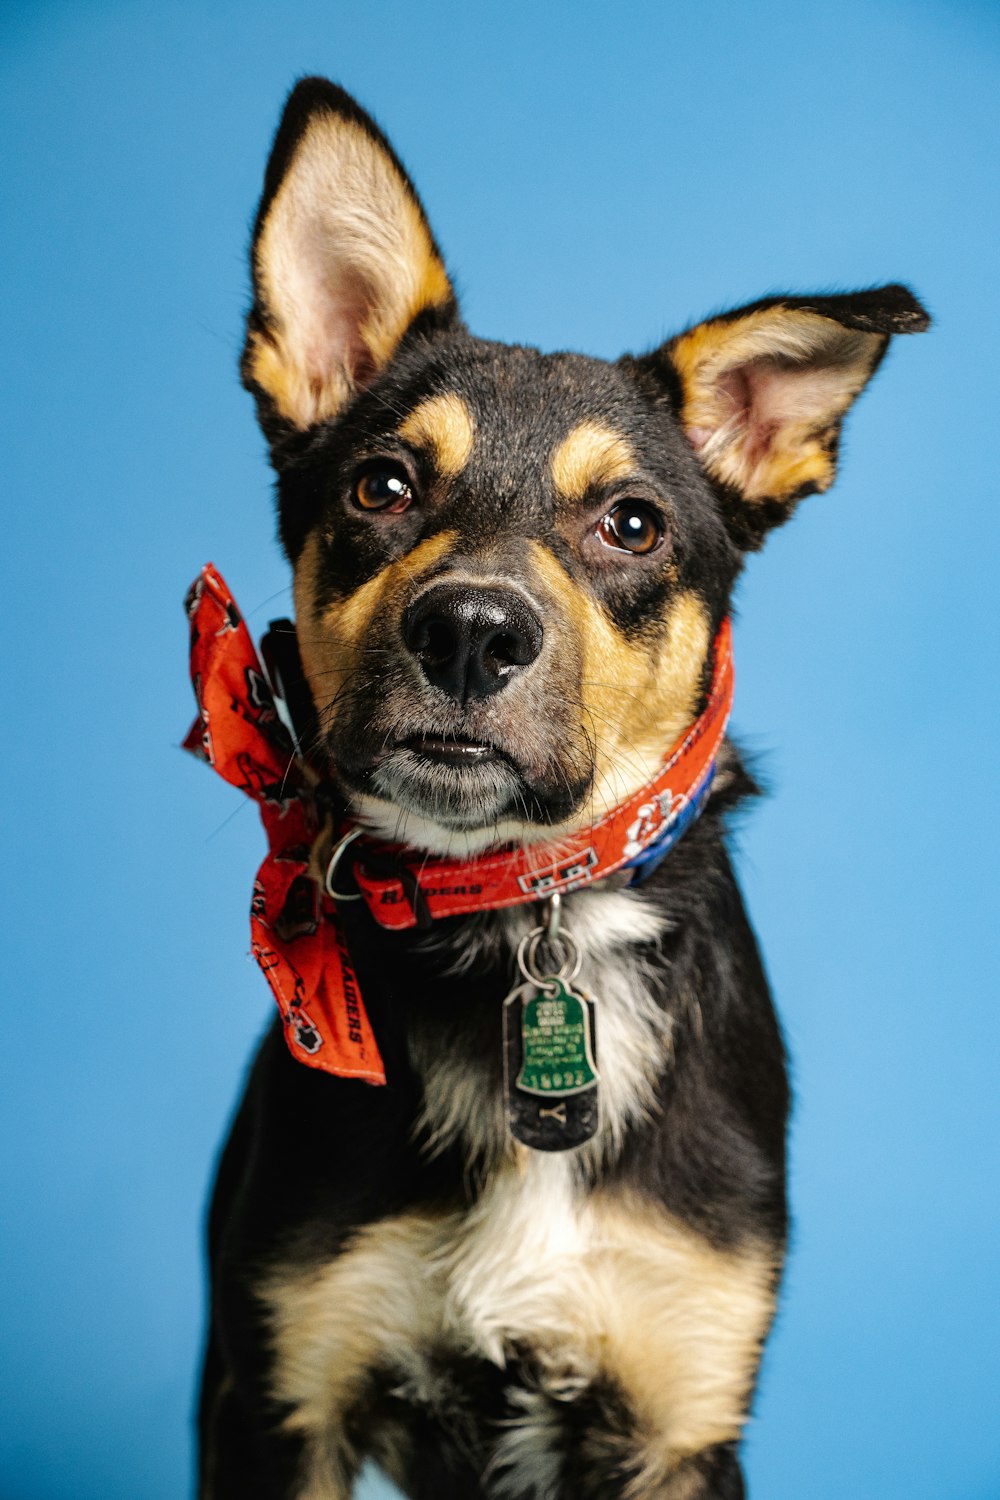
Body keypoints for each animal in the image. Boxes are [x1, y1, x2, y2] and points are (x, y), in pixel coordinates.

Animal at [194, 73, 929, 1500]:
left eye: (631, 524)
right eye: (382, 484)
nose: (470, 632)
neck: (522, 917)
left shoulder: (680, 1404)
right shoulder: (282, 1395)